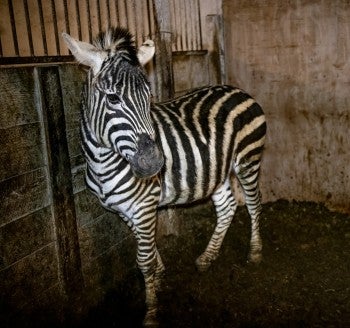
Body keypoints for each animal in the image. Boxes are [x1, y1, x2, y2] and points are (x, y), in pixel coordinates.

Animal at [62, 27, 266, 326]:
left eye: (149, 97)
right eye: (113, 98)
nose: (155, 164)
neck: (102, 162)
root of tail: (236, 89)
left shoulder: (145, 203)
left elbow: (143, 259)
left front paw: (151, 312)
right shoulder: (125, 209)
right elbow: (147, 252)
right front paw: (159, 279)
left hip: (248, 160)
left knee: (253, 204)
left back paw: (255, 252)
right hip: (217, 170)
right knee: (228, 206)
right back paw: (207, 257)